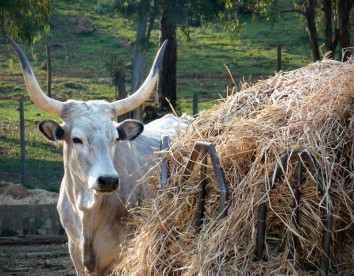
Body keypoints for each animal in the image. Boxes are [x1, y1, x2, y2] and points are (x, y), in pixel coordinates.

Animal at [6, 37, 187, 276]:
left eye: (115, 139)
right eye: (76, 139)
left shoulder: (123, 256)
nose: (108, 180)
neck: (87, 210)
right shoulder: (76, 253)